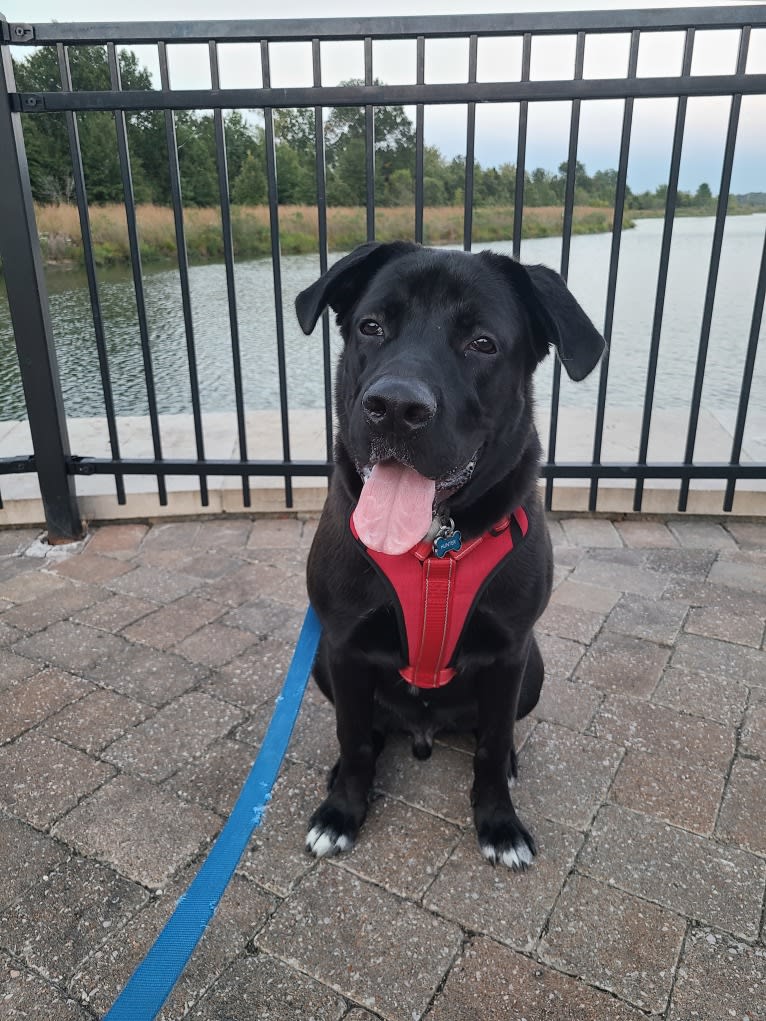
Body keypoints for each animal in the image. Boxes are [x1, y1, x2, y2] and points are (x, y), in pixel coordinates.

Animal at [294, 240, 604, 869]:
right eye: (371, 326)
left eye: (482, 343)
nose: (394, 406)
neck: (434, 546)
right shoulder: (343, 644)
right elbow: (353, 737)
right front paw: (341, 812)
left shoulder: (510, 652)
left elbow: (492, 746)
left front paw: (499, 823)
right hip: (322, 665)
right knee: (368, 729)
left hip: (533, 669)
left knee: (492, 733)